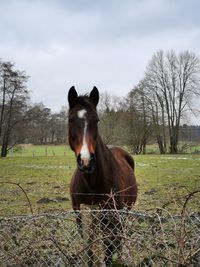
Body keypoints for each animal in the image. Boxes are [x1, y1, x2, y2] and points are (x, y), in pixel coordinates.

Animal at [67, 87, 138, 266]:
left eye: (97, 120)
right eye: (70, 119)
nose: (86, 161)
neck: (91, 182)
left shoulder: (111, 218)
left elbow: (108, 252)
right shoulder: (80, 215)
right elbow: (90, 251)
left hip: (123, 214)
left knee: (118, 240)